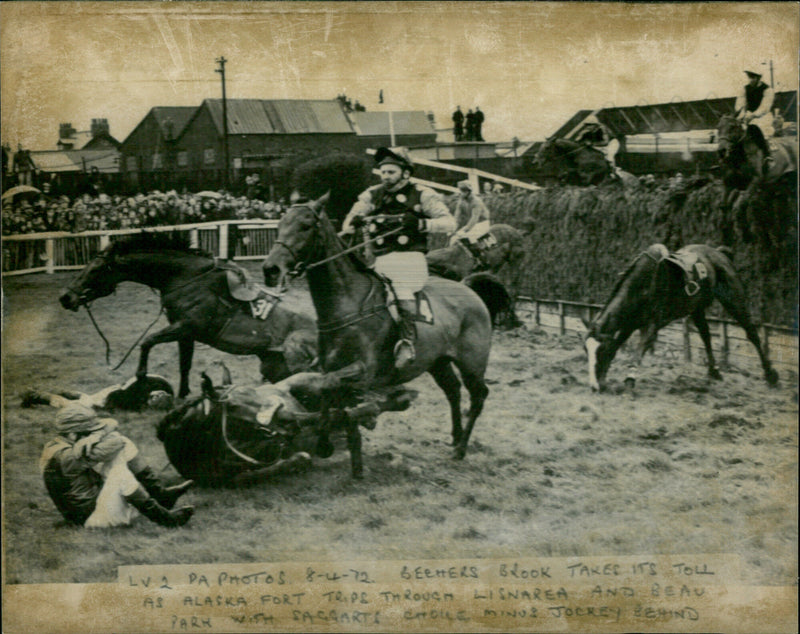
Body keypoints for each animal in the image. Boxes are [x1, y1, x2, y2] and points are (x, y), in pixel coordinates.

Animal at [59, 232, 318, 398]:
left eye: (95, 269)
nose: (65, 297)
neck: (186, 278)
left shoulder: (184, 327)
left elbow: (147, 342)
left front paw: (141, 379)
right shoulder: (185, 334)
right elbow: (185, 364)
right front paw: (183, 394)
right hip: (272, 364)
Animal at [260, 195, 494, 476]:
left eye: (305, 226)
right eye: (280, 224)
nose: (271, 269)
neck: (348, 303)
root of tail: (470, 292)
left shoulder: (363, 370)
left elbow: (334, 392)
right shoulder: (332, 367)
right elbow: (328, 392)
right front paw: (326, 443)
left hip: (472, 363)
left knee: (478, 395)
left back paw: (461, 448)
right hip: (438, 362)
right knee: (453, 391)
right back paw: (456, 437)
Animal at [584, 242, 780, 390]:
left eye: (599, 351)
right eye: (586, 351)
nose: (593, 386)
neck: (644, 283)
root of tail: (719, 253)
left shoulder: (652, 325)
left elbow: (639, 348)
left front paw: (630, 379)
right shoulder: (629, 324)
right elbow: (616, 345)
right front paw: (604, 378)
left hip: (734, 301)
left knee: (752, 333)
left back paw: (770, 375)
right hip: (697, 308)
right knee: (706, 335)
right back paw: (714, 371)